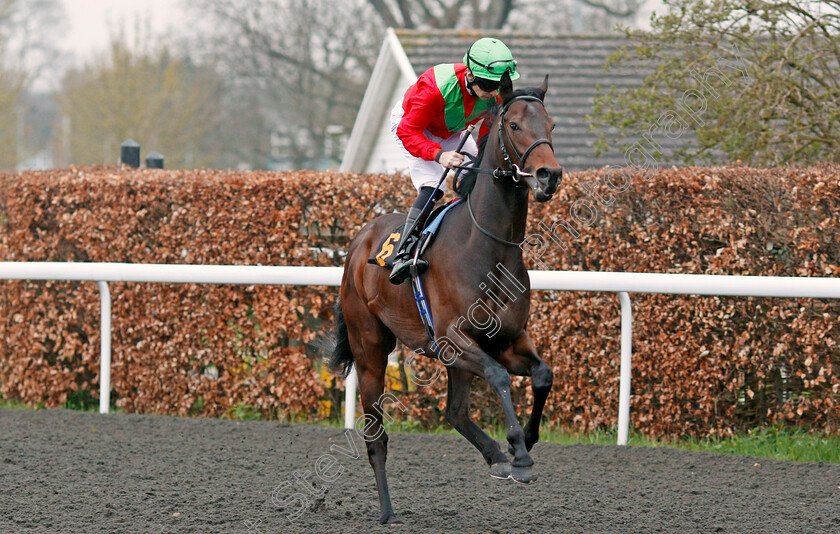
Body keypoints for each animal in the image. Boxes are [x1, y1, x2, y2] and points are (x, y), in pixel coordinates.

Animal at [324, 73, 560, 524]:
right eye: (515, 125)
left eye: (552, 125)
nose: (549, 175)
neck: (486, 246)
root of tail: (359, 241)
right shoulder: (453, 339)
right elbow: (500, 378)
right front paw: (519, 454)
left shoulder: (505, 339)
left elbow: (542, 375)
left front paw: (526, 441)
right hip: (370, 349)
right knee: (376, 436)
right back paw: (387, 511)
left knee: (454, 411)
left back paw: (494, 456)